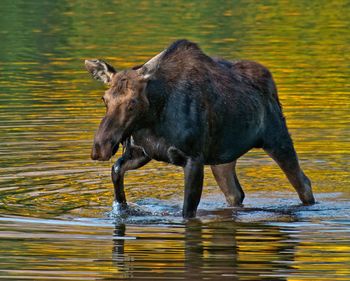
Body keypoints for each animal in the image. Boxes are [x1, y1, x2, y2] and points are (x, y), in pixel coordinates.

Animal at [86, 39, 316, 218]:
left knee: (303, 183)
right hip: (222, 157)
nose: (100, 147)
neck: (153, 118)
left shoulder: (194, 158)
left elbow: (187, 211)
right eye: (104, 99)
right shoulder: (142, 152)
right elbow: (116, 171)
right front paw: (122, 207)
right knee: (235, 193)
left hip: (277, 139)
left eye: (132, 103)